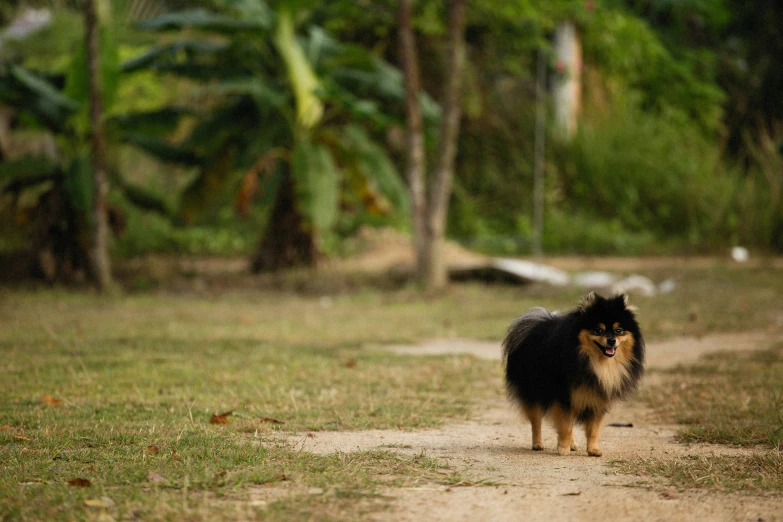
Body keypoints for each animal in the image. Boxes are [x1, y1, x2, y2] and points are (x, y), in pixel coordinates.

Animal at [506, 292, 648, 456]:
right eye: (598, 330)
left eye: (618, 331)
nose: (611, 340)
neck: (597, 363)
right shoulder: (563, 397)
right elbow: (565, 426)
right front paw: (563, 449)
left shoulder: (597, 398)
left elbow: (593, 429)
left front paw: (593, 450)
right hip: (533, 392)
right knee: (536, 422)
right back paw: (537, 444)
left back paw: (572, 444)